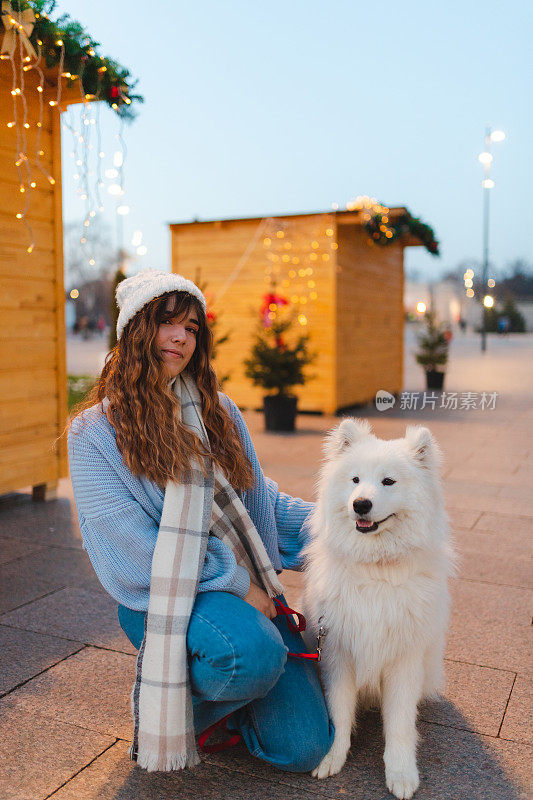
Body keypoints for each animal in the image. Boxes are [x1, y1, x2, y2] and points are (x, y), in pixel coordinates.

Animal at [304, 418, 454, 800]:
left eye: (389, 481)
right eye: (355, 479)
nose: (360, 504)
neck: (376, 569)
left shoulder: (404, 658)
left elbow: (400, 722)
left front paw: (401, 774)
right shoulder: (338, 651)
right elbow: (338, 710)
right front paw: (332, 756)